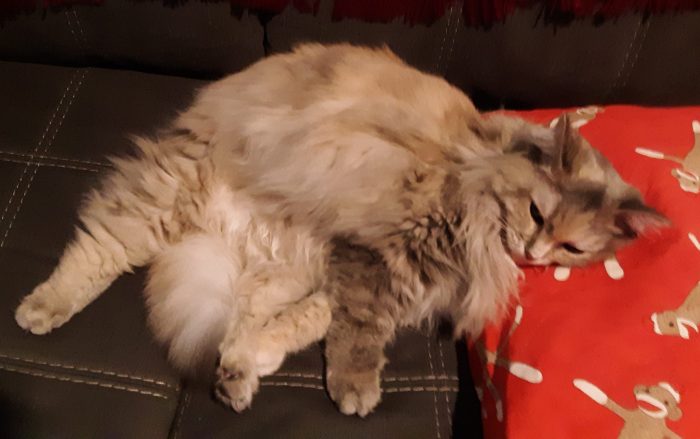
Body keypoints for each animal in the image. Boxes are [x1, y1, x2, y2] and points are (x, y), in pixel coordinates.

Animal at [13, 43, 664, 416]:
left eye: (572, 247)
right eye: (536, 214)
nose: (534, 250)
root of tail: (224, 234)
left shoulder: (371, 274)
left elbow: (313, 324)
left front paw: (265, 363)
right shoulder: (377, 256)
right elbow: (357, 335)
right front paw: (355, 389)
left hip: (284, 267)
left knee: (244, 315)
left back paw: (237, 378)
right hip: (166, 200)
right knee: (98, 248)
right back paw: (40, 310)